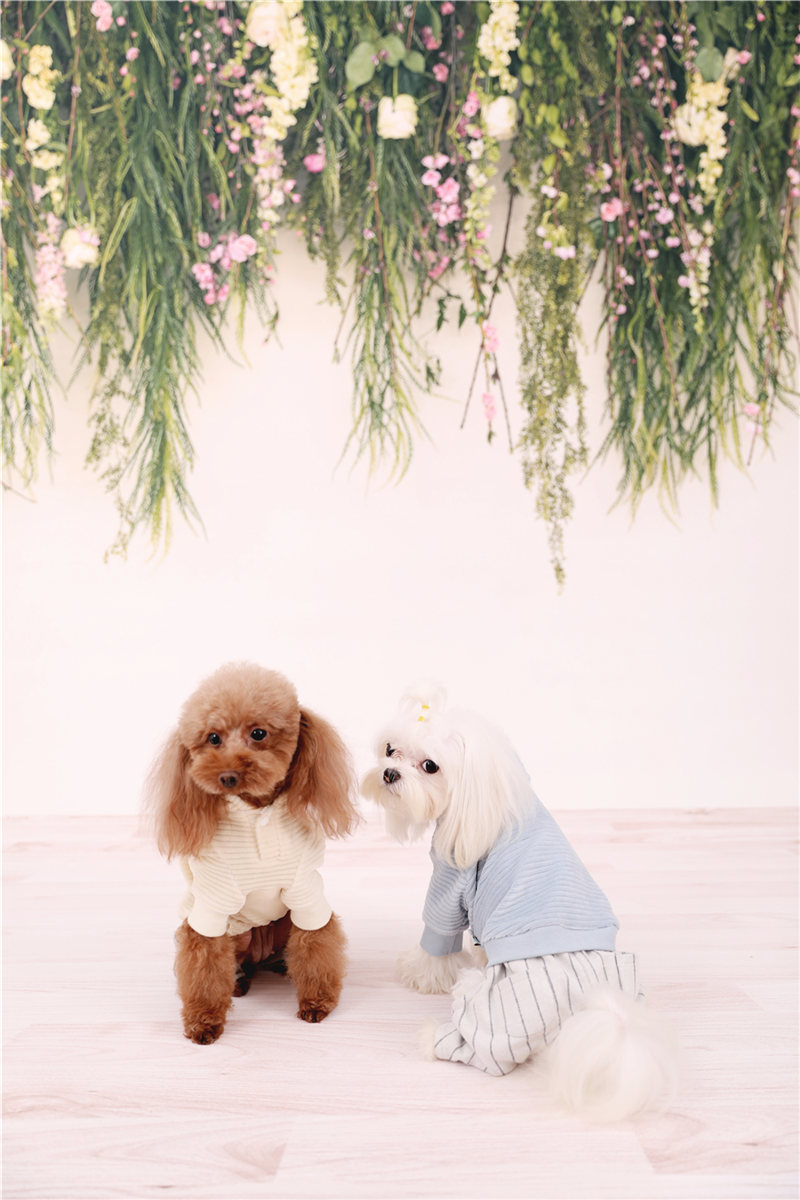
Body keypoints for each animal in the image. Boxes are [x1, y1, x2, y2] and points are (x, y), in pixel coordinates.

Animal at [149, 662, 359, 1044]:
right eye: (213, 738)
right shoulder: (211, 905)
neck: (256, 812)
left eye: (259, 733)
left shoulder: (306, 893)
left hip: (283, 924)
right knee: (235, 964)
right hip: (237, 933)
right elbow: (204, 964)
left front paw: (317, 1001)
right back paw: (239, 982)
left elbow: (317, 942)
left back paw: (282, 965)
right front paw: (204, 1021)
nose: (228, 775)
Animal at [361, 685, 677, 1122]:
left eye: (429, 766)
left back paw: (430, 1037)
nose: (389, 773)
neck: (490, 796)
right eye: (390, 749)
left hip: (499, 1013)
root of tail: (588, 1006)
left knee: (476, 1045)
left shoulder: (450, 877)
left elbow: (437, 937)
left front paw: (420, 972)